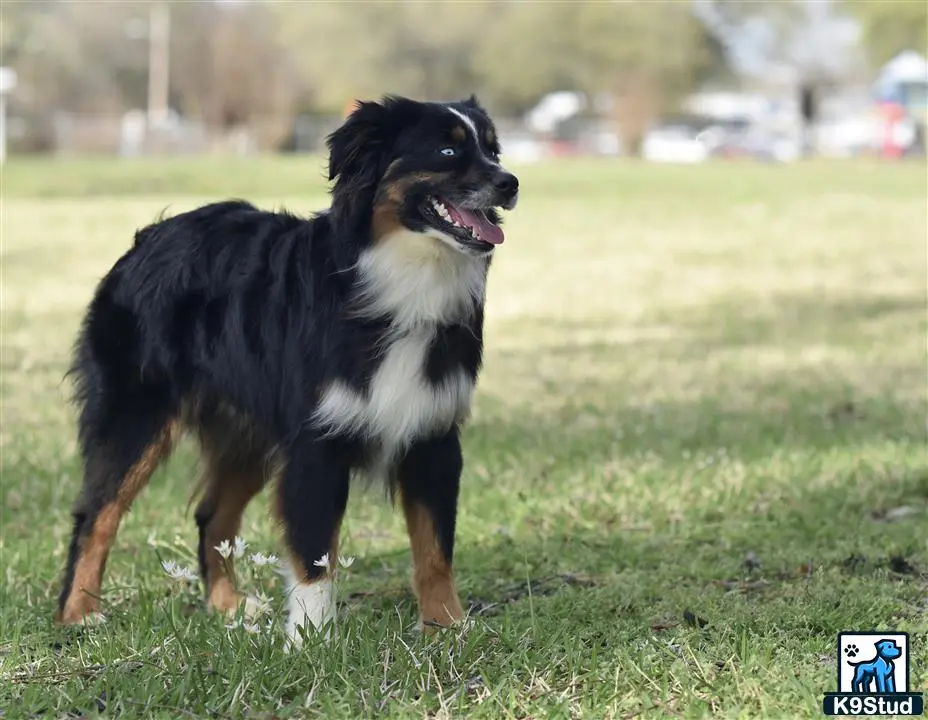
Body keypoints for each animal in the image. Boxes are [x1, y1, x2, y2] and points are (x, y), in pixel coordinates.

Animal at [54, 93, 520, 644]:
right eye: (448, 150)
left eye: (493, 150)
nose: (511, 182)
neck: (401, 275)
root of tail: (149, 237)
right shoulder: (316, 442)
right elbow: (315, 553)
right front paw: (311, 640)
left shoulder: (433, 436)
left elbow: (435, 550)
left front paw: (447, 627)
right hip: (137, 418)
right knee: (97, 515)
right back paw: (79, 612)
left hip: (248, 433)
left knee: (212, 516)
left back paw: (228, 606)